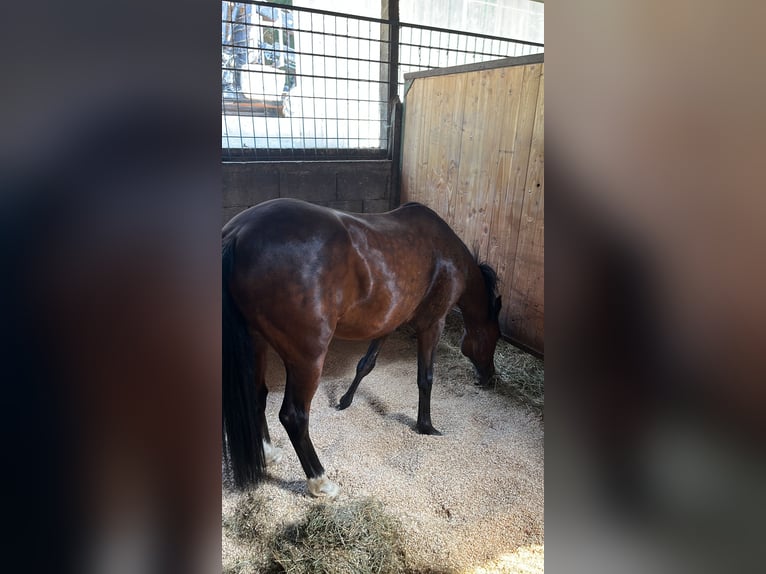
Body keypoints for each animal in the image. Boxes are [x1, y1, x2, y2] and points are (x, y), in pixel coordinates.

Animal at [222, 198, 502, 498]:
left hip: (256, 344)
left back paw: (268, 453)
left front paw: (345, 400)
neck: (447, 255)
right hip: (307, 359)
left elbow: (366, 364)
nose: (489, 378)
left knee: (257, 397)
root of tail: (238, 233)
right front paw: (426, 426)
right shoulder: (432, 325)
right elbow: (425, 378)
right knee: (294, 416)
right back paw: (321, 482)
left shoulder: (389, 321)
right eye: (495, 336)